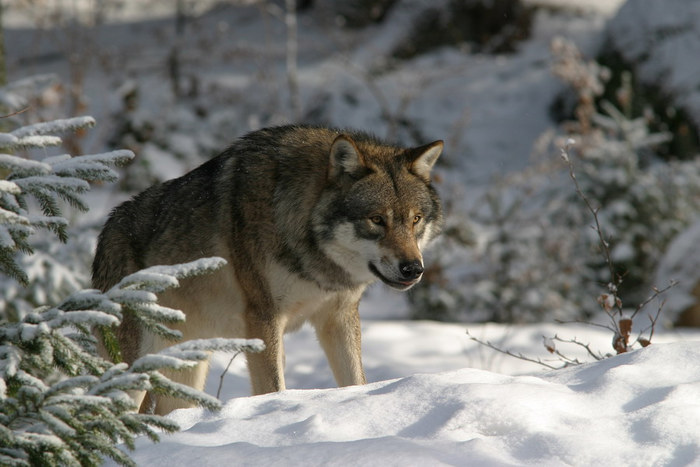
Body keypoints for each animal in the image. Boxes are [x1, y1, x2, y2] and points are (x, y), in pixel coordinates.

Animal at [93, 125, 442, 416]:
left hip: (186, 371)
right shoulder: (263, 319)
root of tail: (105, 234)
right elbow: (273, 387)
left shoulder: (339, 316)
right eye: (377, 220)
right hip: (134, 370)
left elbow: (356, 381)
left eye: (415, 219)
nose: (413, 269)